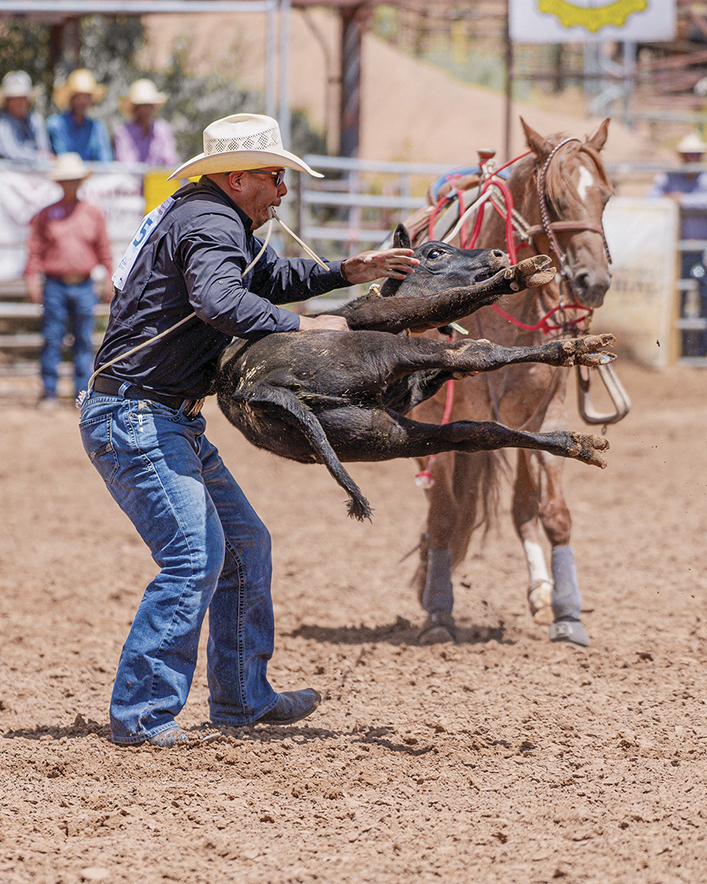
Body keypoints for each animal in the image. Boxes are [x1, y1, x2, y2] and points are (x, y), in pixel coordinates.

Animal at [217, 224, 612, 520]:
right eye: (435, 253)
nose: (498, 255)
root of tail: (255, 387)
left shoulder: (405, 396)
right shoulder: (387, 314)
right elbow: (442, 304)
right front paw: (514, 278)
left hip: (382, 435)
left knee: (474, 432)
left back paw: (578, 443)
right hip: (381, 356)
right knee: (479, 356)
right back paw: (573, 347)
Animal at [412, 117, 616, 644]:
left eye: (605, 196)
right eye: (557, 199)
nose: (595, 282)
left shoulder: (549, 413)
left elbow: (551, 512)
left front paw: (568, 613)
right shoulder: (449, 422)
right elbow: (444, 516)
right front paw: (437, 613)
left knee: (522, 506)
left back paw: (542, 593)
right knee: (445, 509)